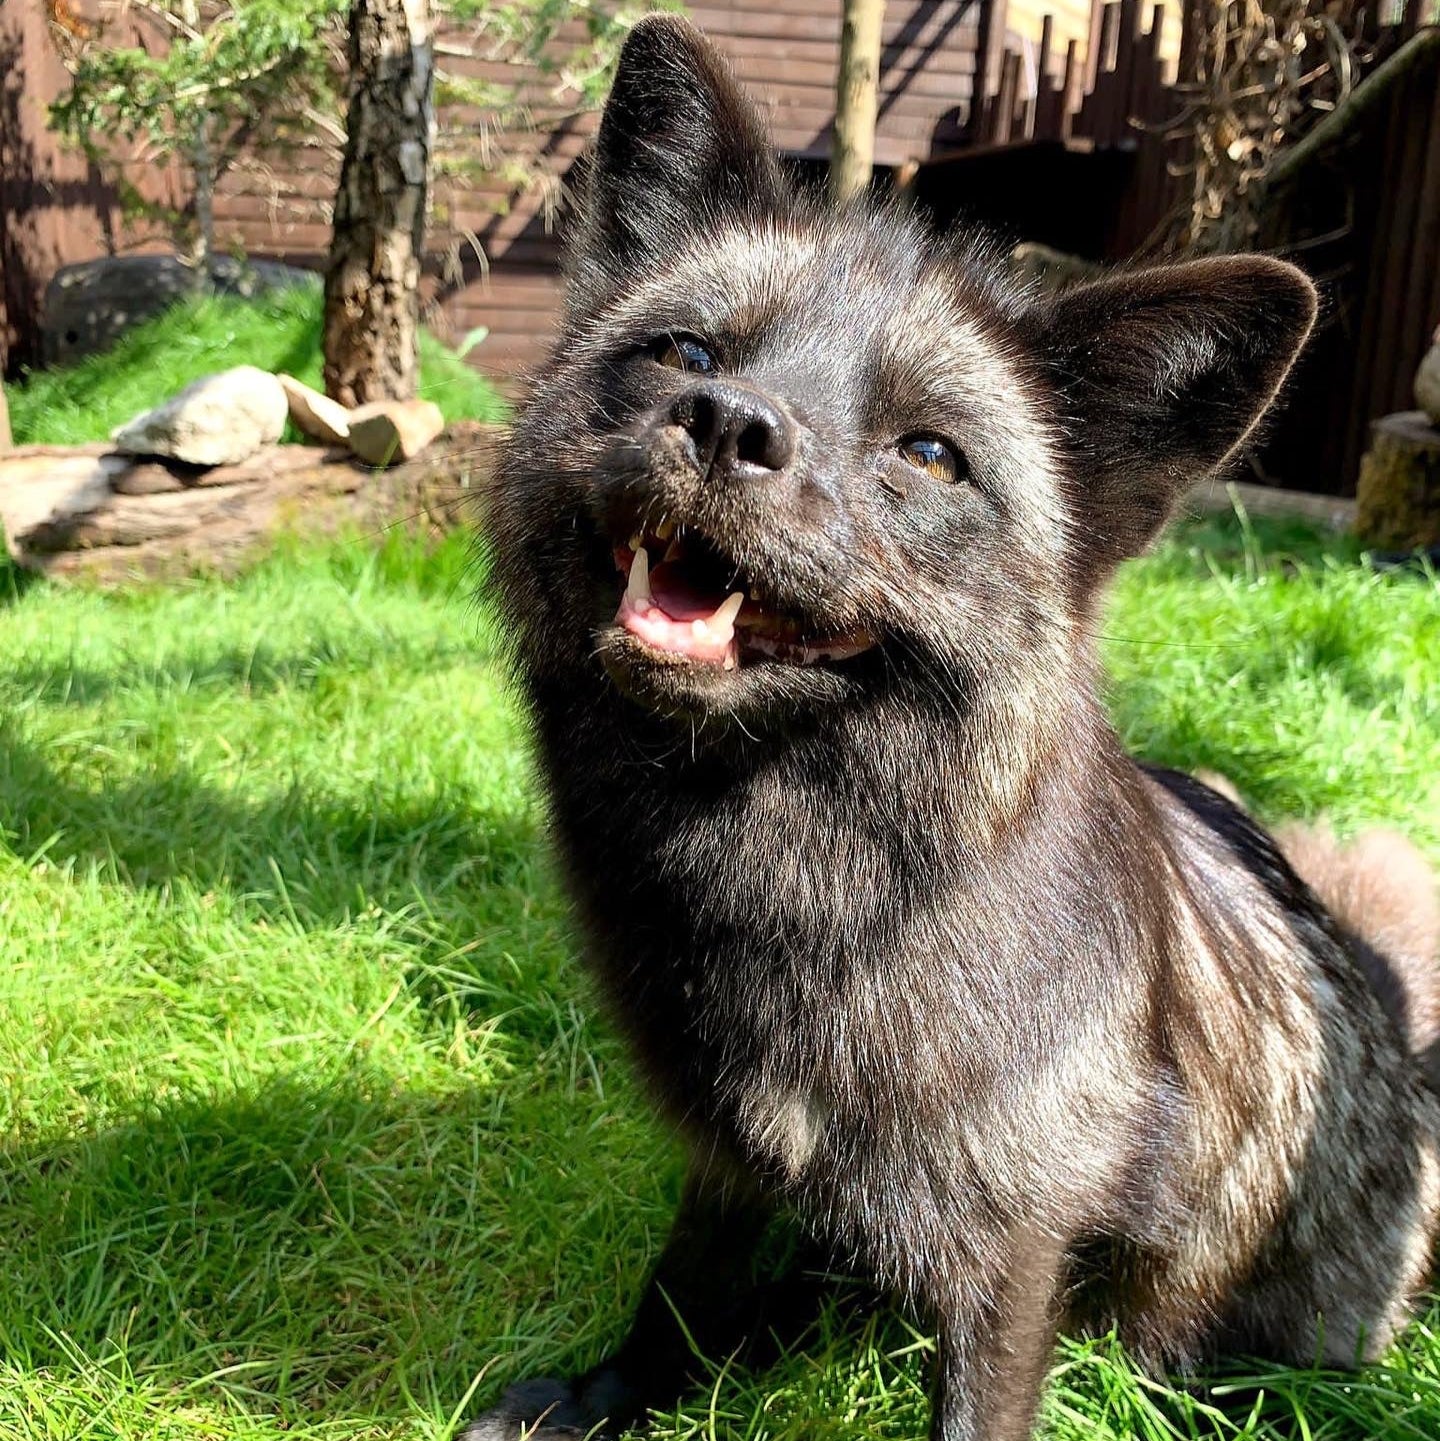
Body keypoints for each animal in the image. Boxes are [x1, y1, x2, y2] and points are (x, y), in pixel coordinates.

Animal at [464, 16, 1440, 1441]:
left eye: (928, 454)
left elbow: (975, 1400)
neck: (813, 890)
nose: (726, 423)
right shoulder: (730, 1151)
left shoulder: (1016, 1229)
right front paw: (613, 1394)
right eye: (688, 355)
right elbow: (683, 1288)